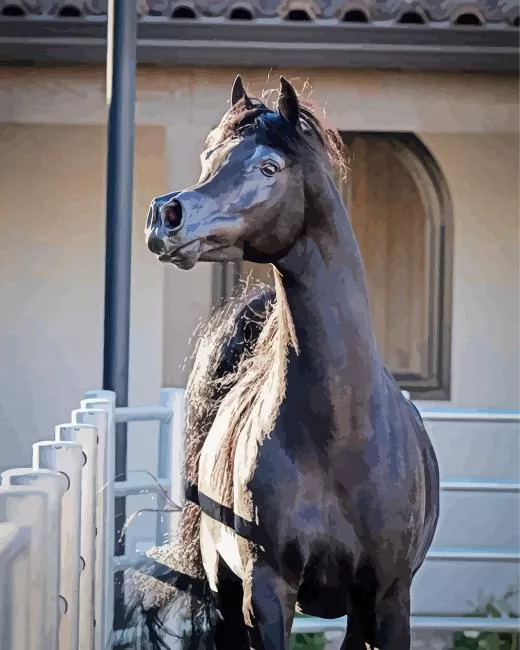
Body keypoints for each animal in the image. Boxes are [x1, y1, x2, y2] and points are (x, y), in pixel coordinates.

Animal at [120, 75, 440, 650]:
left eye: (269, 166)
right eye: (208, 157)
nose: (166, 215)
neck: (340, 436)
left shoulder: (388, 598)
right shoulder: (267, 593)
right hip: (225, 589)